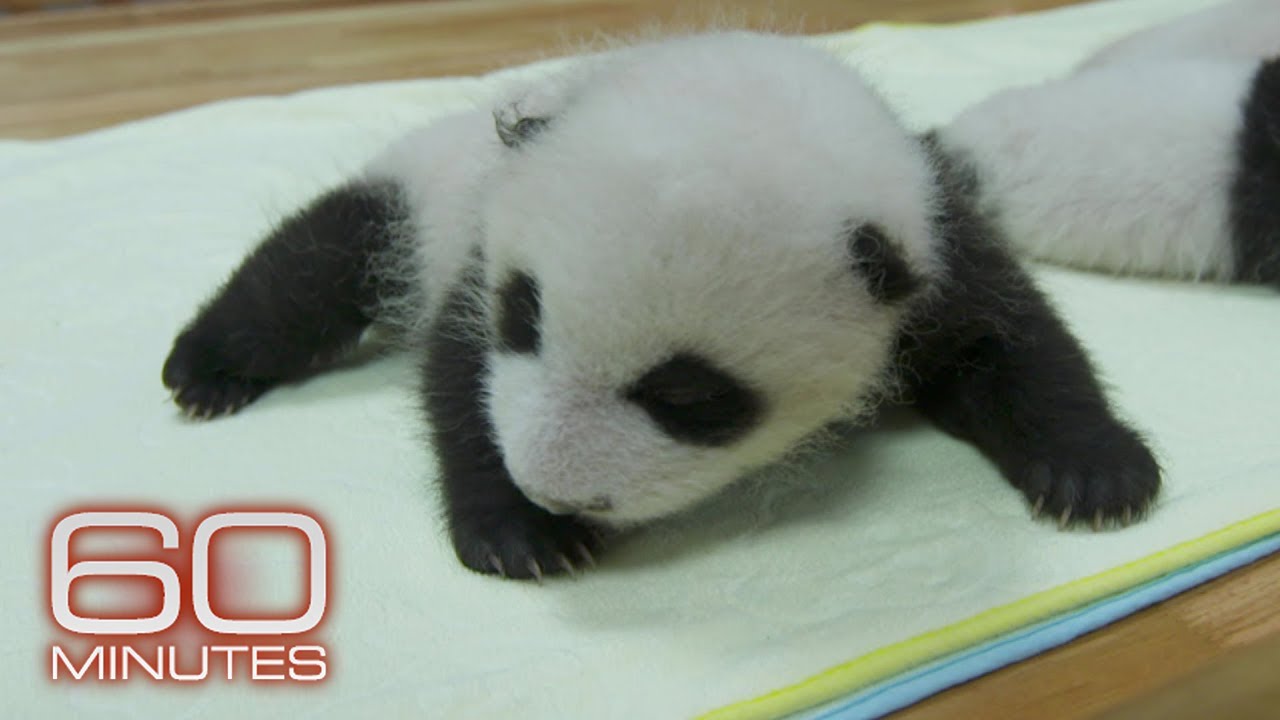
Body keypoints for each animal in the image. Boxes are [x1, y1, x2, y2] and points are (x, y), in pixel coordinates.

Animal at [162, 32, 1163, 580]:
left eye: (688, 397)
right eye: (524, 320)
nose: (556, 487)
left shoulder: (931, 234)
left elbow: (1013, 343)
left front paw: (1096, 477)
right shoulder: (484, 239)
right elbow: (460, 381)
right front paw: (521, 532)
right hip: (417, 194)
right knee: (312, 270)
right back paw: (203, 371)